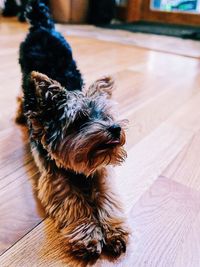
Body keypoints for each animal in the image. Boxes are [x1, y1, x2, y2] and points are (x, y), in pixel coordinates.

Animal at [17, 0, 130, 264]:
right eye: (80, 120)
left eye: (106, 116)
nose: (115, 128)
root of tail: (42, 25)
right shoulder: (55, 178)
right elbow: (74, 202)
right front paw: (88, 237)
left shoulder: (101, 172)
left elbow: (107, 197)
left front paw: (115, 231)